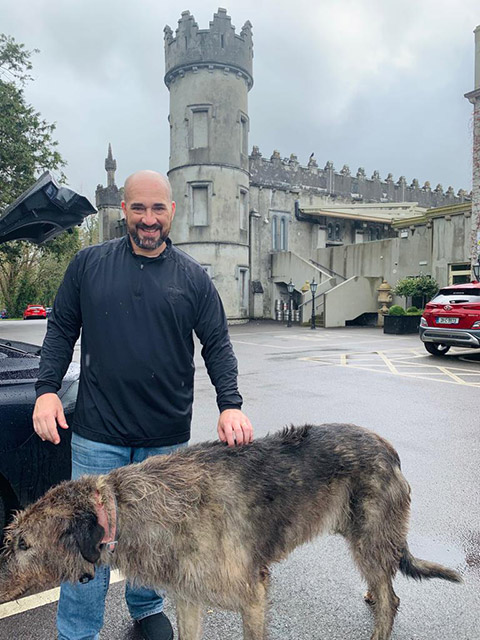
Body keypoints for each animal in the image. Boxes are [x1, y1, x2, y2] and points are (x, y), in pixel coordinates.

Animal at [0, 424, 462, 640]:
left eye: (24, 544)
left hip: (371, 533)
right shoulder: (187, 596)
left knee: (391, 596)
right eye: (13, 538)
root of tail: (389, 449)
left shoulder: (253, 595)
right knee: (385, 584)